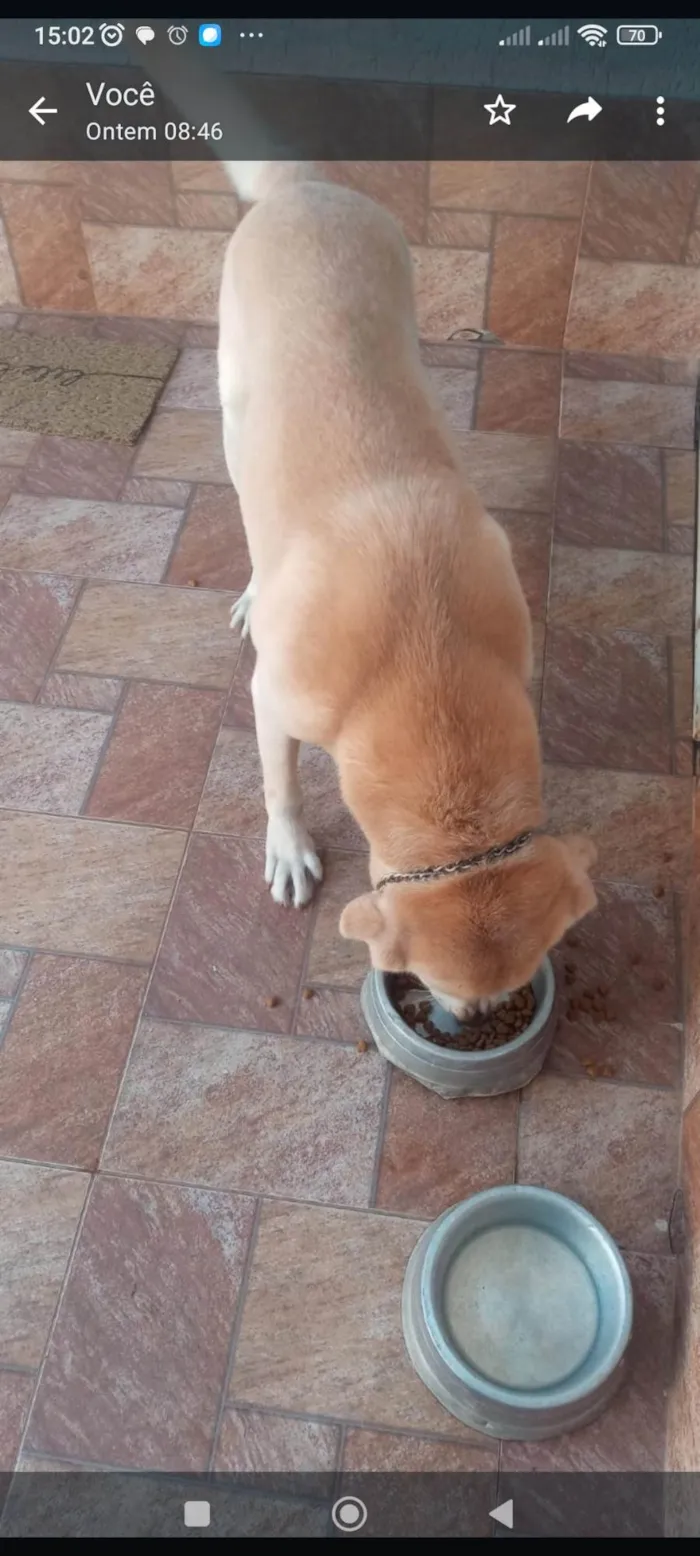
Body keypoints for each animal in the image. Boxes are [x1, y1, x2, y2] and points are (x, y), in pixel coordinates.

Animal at [219, 164, 597, 1014]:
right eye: (431, 982)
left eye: (516, 984)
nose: (475, 1020)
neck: (425, 668)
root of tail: (301, 190)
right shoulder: (275, 699)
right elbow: (280, 781)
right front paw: (288, 847)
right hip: (232, 405)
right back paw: (256, 590)